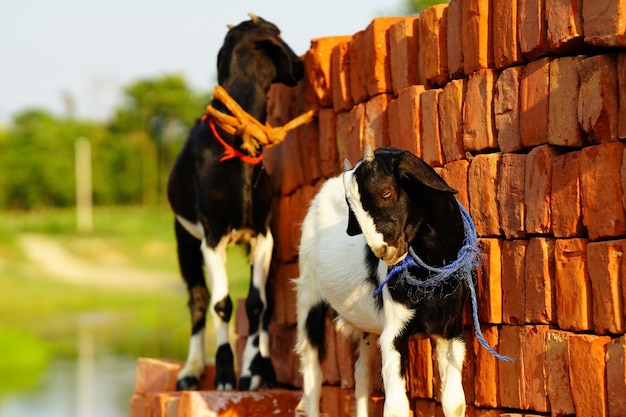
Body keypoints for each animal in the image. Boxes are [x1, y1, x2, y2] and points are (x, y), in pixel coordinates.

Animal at [166, 13, 302, 390]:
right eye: (279, 34)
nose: (300, 66)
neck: (236, 144)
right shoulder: (213, 238)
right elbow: (221, 305)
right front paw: (226, 374)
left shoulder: (263, 236)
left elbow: (257, 305)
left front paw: (254, 371)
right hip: (184, 241)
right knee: (198, 299)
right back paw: (191, 370)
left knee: (266, 303)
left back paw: (262, 369)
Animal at [296, 146, 468, 416]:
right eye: (353, 210)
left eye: (386, 192)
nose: (382, 250)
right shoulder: (394, 332)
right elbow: (397, 407)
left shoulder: (450, 330)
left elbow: (455, 402)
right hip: (308, 294)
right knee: (312, 372)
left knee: (361, 375)